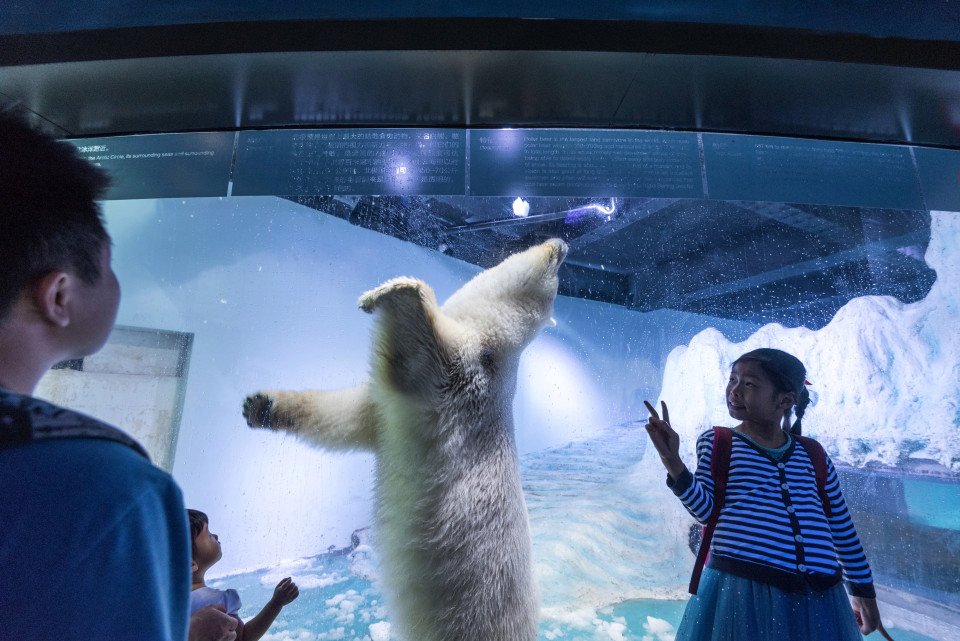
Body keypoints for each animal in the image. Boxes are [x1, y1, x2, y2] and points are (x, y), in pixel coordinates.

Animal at [242, 238, 568, 636]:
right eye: (558, 269)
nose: (562, 244)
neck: (493, 340)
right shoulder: (388, 415)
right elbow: (348, 417)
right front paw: (260, 406)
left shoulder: (461, 375)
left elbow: (418, 352)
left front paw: (384, 293)